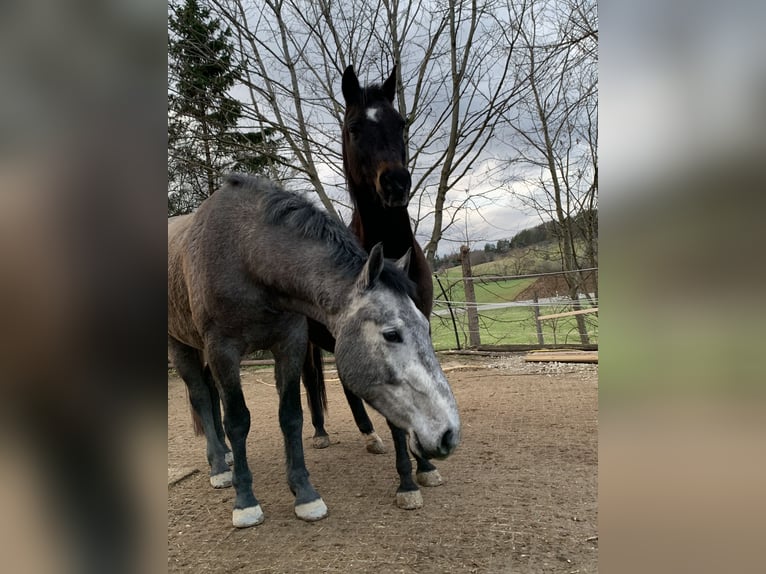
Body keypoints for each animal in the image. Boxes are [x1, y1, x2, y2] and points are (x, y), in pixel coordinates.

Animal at [304, 65, 440, 510]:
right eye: (354, 127)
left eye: (401, 123)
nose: (396, 183)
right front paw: (407, 482)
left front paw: (425, 465)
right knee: (309, 382)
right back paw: (321, 433)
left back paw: (369, 435)